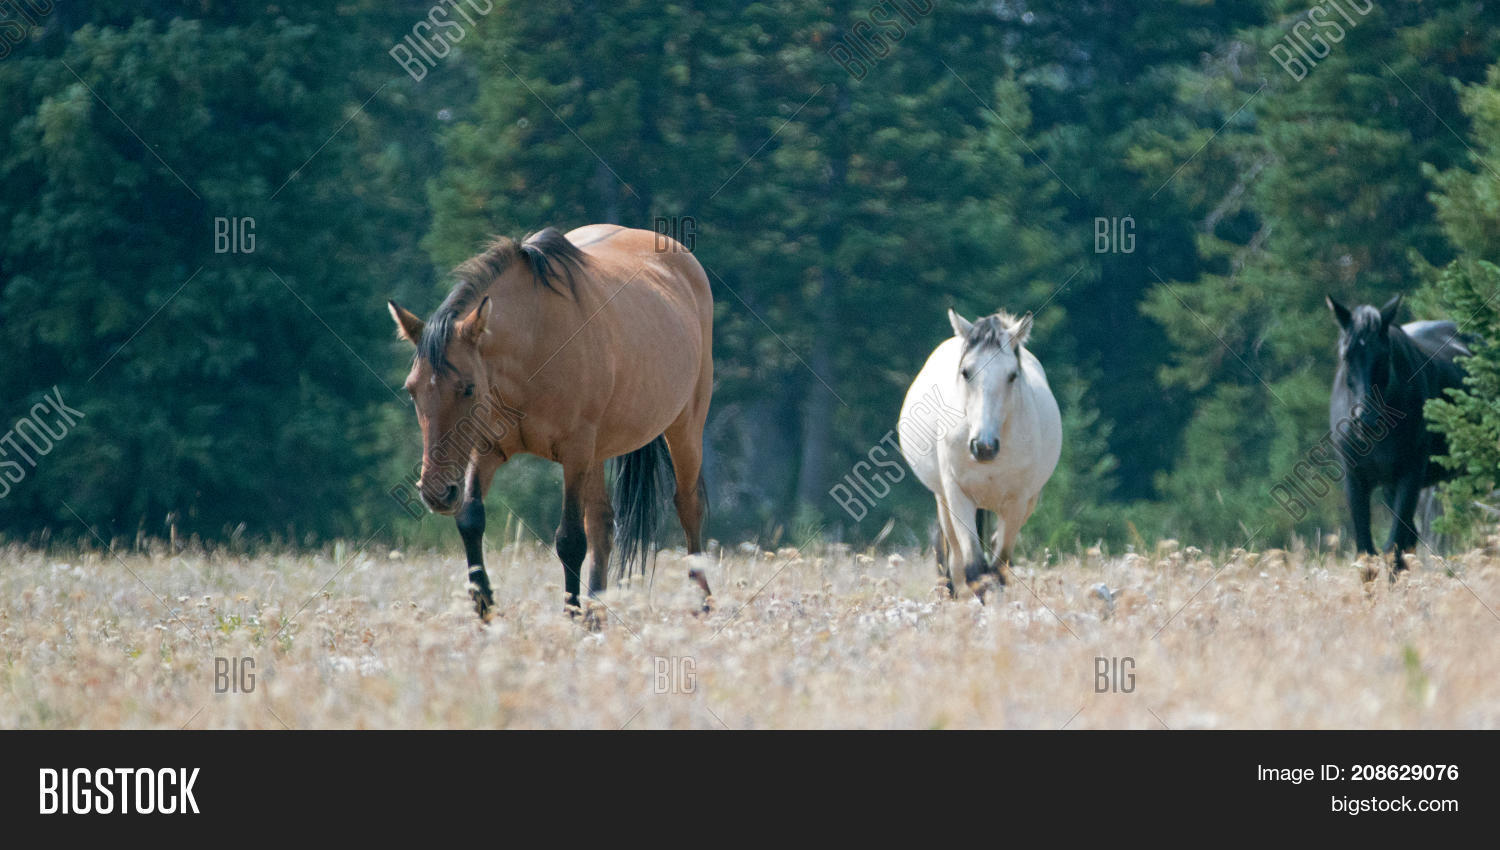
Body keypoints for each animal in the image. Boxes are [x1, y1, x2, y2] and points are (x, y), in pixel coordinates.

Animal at [387, 224, 715, 620]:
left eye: (468, 388)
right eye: (411, 390)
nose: (437, 492)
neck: (535, 346)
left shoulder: (575, 453)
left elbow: (570, 539)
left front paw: (570, 614)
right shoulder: (487, 450)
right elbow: (470, 519)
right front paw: (485, 608)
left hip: (685, 427)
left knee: (688, 505)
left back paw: (702, 602)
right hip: (598, 453)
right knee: (603, 523)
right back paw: (596, 612)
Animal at [898, 308, 1062, 598]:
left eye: (1012, 375)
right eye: (965, 372)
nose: (983, 447)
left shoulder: (1017, 501)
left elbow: (998, 569)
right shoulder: (957, 494)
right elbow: (975, 569)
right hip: (944, 499)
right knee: (951, 555)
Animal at [1325, 293, 1470, 571]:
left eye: (1384, 355)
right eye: (1346, 355)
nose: (1366, 421)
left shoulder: (1409, 476)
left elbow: (1393, 548)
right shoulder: (1356, 480)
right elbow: (1366, 552)